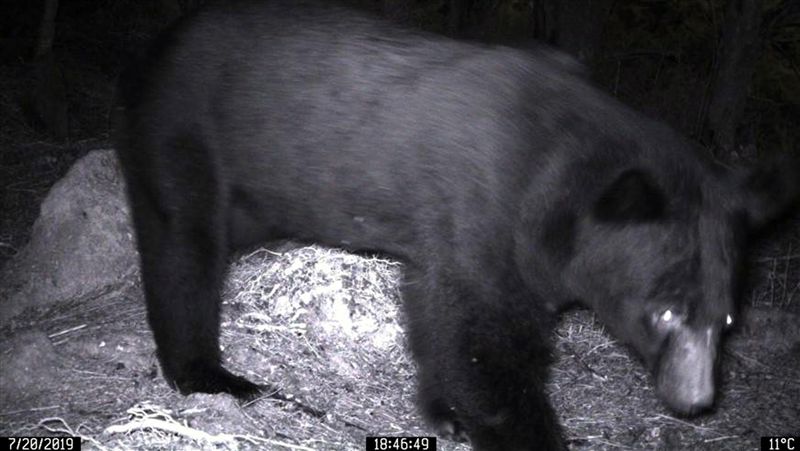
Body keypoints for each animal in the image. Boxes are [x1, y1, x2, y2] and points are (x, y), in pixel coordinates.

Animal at [114, 1, 800, 449]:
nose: (695, 402)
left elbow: (439, 316)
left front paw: (443, 413)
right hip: (185, 135)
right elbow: (483, 338)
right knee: (184, 248)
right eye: (664, 313)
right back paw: (213, 376)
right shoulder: (490, 207)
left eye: (727, 321)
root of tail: (160, 44)